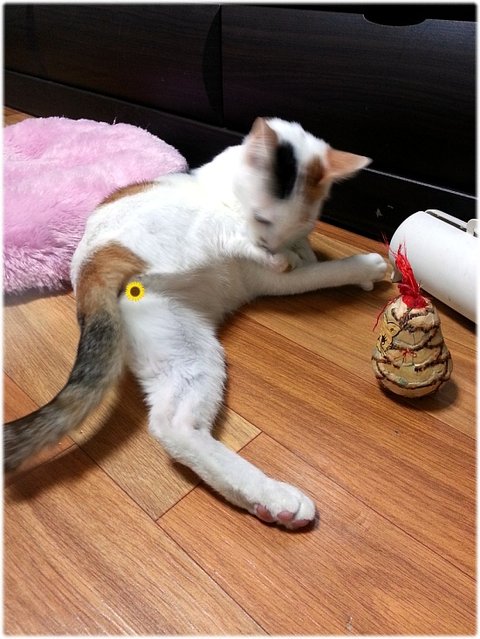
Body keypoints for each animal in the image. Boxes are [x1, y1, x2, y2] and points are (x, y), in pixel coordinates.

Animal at [4, 117, 386, 529]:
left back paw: (270, 499)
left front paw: (304, 252)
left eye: (301, 223)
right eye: (262, 219)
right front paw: (363, 267)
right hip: (194, 233)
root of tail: (91, 262)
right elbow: (316, 270)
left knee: (175, 426)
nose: (271, 247)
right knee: (225, 237)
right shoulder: (265, 260)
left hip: (185, 353)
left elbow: (308, 260)